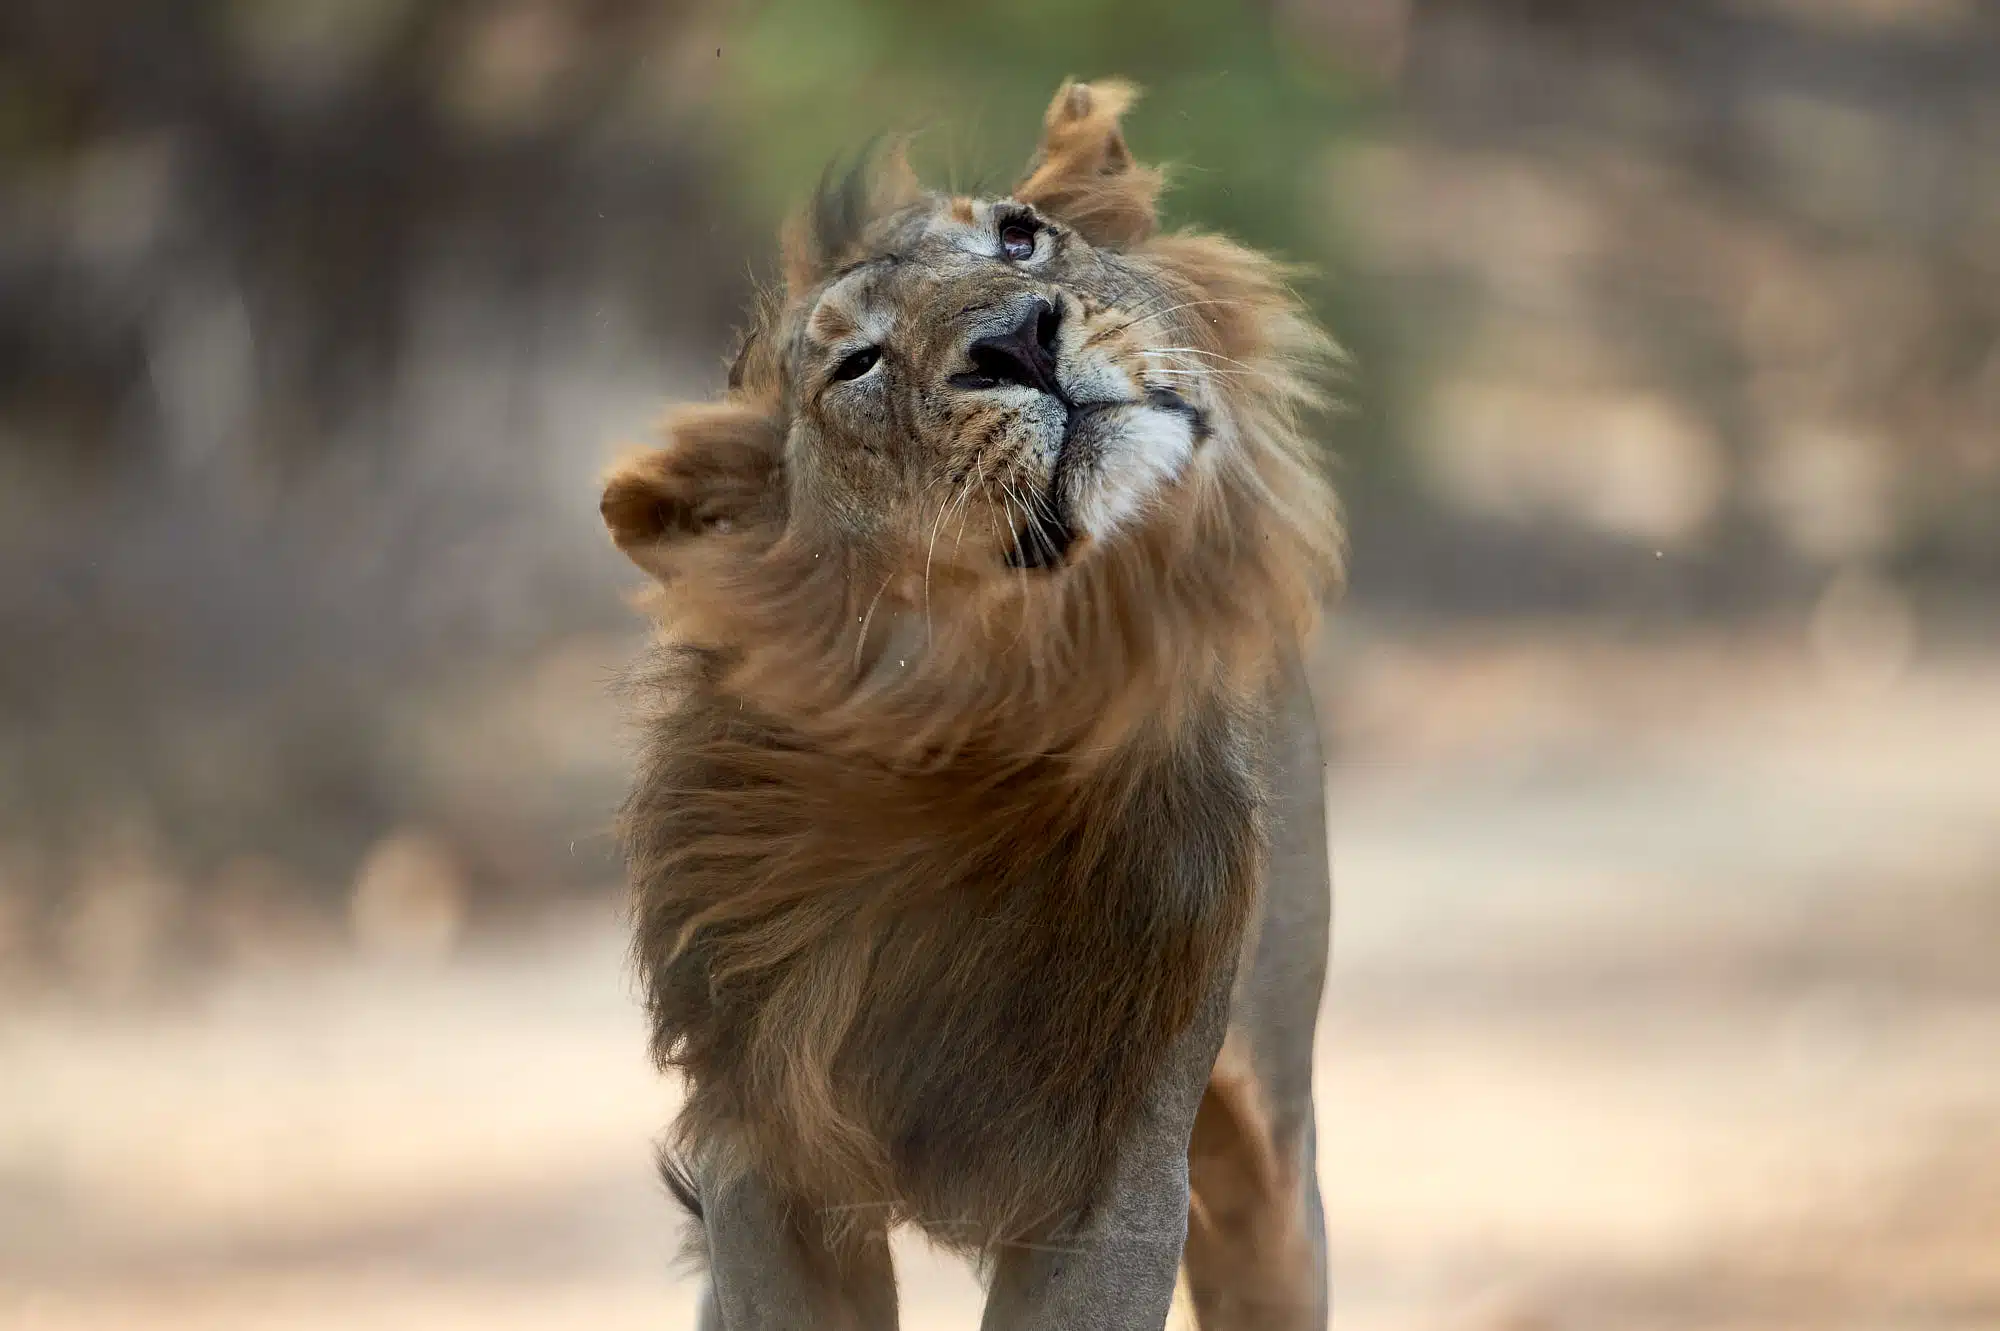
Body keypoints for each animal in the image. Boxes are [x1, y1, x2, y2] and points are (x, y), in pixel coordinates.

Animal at [599, 80, 1343, 1329]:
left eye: (1017, 236)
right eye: (855, 363)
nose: (1018, 337)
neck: (974, 737)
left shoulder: (1115, 1163)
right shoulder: (762, 1155)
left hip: (1267, 1138)